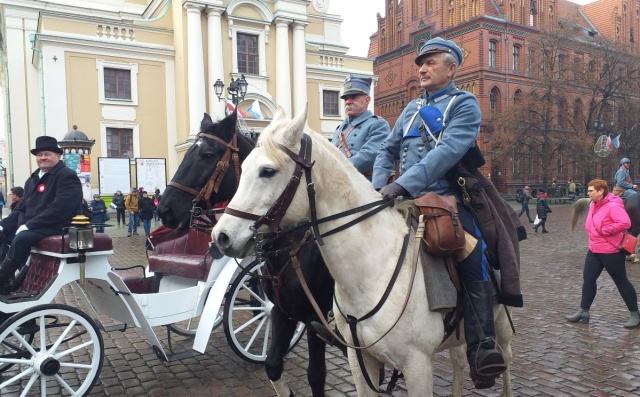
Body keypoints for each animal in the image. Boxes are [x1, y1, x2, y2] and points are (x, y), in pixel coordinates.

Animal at [156, 111, 336, 396]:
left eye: (208, 154)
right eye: (187, 151)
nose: (164, 210)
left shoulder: (314, 316)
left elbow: (316, 375)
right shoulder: (283, 309)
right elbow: (273, 363)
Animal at [212, 106, 512, 396]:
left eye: (267, 171)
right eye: (243, 167)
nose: (221, 236)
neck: (374, 271)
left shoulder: (417, 366)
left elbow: (315, 374)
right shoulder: (359, 359)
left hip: (501, 326)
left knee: (504, 362)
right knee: (459, 360)